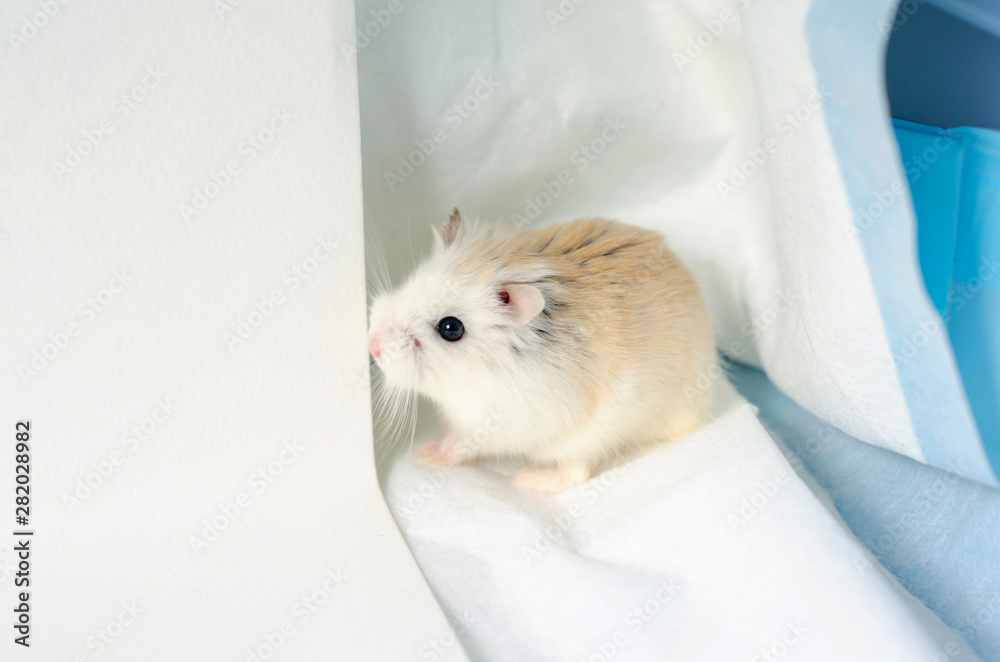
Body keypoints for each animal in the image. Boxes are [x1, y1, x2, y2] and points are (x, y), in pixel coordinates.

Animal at [368, 209, 718, 494]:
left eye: (451, 328)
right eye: (413, 282)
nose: (372, 347)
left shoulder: (496, 423)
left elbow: (463, 441)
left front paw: (426, 454)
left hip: (590, 439)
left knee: (575, 473)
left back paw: (529, 480)